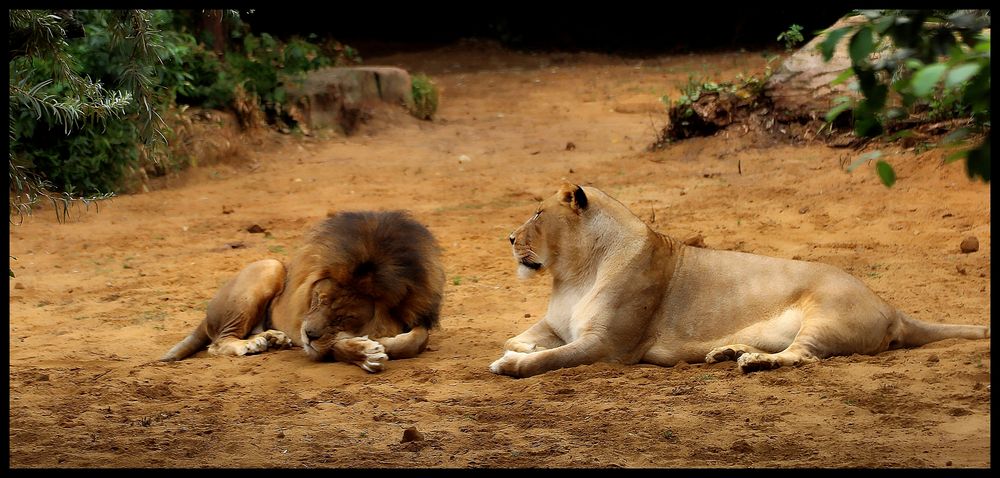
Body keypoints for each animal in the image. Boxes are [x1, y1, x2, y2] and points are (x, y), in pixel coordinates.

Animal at [162, 210, 444, 374]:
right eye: (318, 300)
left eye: (344, 317)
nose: (307, 335)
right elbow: (334, 346)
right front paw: (367, 352)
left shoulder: (416, 315)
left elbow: (416, 340)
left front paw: (382, 343)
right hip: (271, 266)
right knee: (218, 343)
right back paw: (251, 344)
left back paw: (272, 338)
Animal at [488, 183, 988, 378]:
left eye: (538, 214)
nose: (509, 237)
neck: (575, 273)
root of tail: (890, 306)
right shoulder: (558, 324)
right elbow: (528, 335)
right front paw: (519, 346)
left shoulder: (608, 346)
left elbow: (553, 357)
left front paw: (512, 363)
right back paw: (729, 351)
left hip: (826, 314)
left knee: (803, 357)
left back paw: (750, 361)